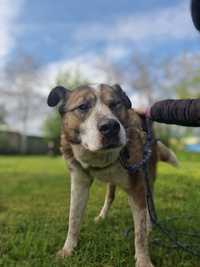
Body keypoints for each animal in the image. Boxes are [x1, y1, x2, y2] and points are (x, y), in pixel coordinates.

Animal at [47, 84, 178, 267]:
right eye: (83, 107)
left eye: (115, 104)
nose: (110, 126)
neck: (101, 158)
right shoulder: (79, 183)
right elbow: (73, 219)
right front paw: (68, 250)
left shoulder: (137, 187)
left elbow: (139, 233)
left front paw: (143, 260)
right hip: (112, 183)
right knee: (110, 196)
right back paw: (102, 216)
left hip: (148, 176)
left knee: (149, 202)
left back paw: (150, 225)